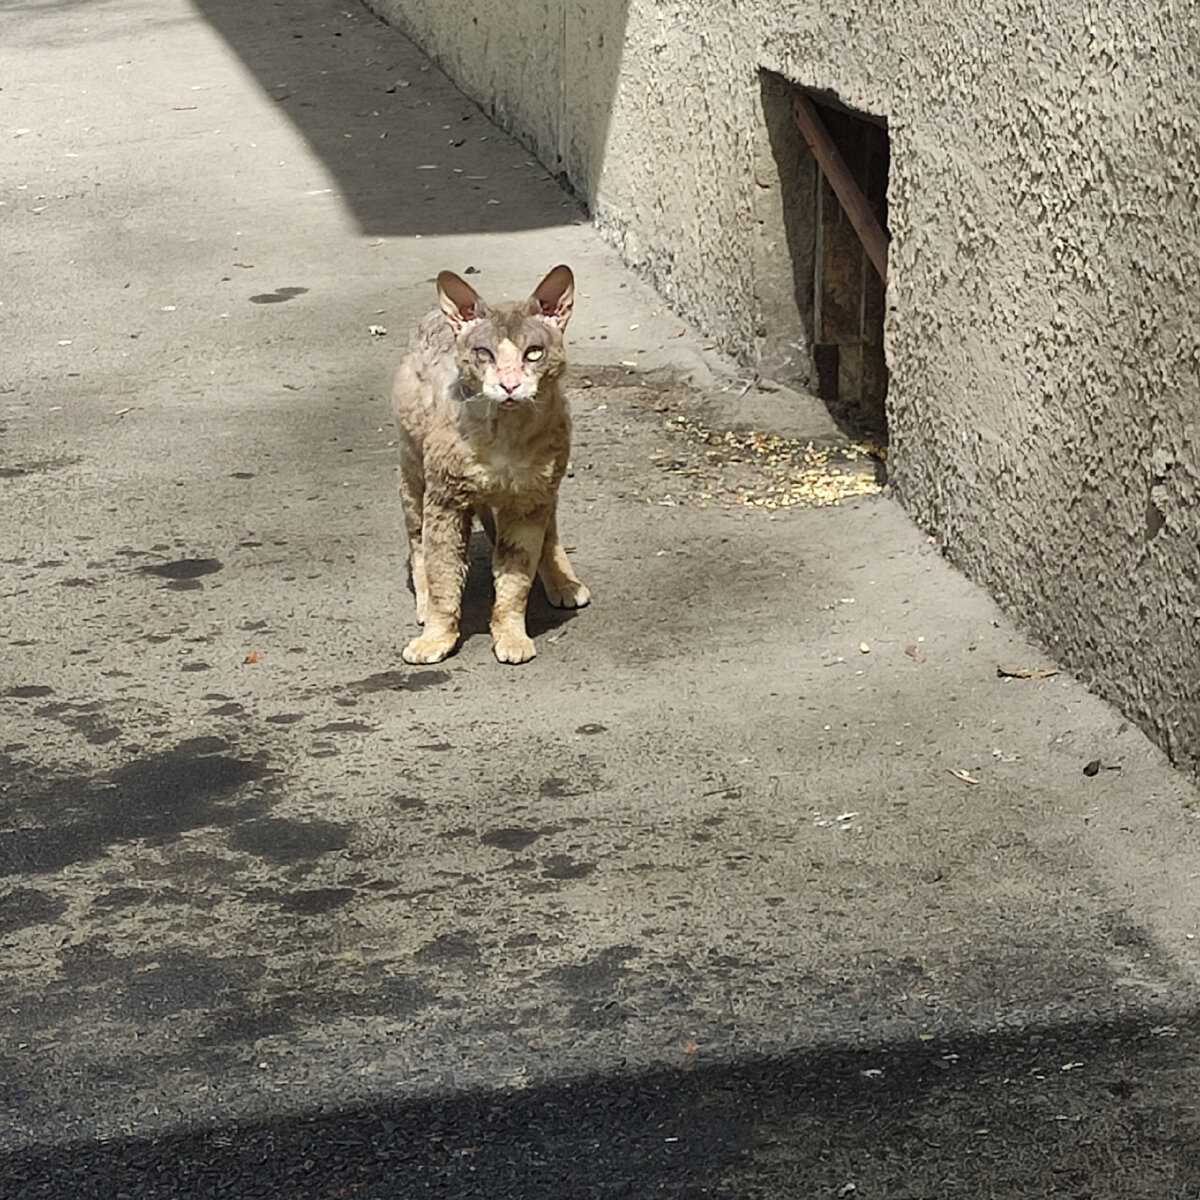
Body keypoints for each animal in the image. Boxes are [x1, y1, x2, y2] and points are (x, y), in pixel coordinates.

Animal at [393, 264, 590, 672]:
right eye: (483, 353)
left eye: (534, 353)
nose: (509, 385)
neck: (506, 437)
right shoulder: (445, 500)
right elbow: (443, 574)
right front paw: (435, 638)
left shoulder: (530, 501)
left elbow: (516, 578)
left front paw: (512, 636)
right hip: (412, 474)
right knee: (418, 543)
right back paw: (422, 603)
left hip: (547, 487)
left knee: (550, 531)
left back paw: (564, 583)